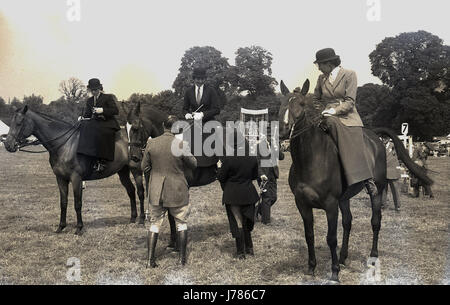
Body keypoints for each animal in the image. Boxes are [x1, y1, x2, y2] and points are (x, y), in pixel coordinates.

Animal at [3, 105, 148, 234]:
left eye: (19, 123)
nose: (8, 145)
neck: (64, 144)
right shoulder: (61, 179)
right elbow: (63, 202)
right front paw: (61, 227)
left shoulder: (76, 178)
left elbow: (78, 203)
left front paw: (79, 228)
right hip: (122, 172)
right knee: (131, 191)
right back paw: (132, 218)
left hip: (136, 170)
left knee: (140, 192)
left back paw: (141, 219)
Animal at [278, 79, 432, 282]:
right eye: (281, 103)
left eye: (302, 104)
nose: (283, 130)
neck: (311, 160)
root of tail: (374, 137)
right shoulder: (302, 204)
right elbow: (309, 235)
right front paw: (311, 267)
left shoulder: (330, 205)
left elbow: (331, 238)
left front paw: (334, 272)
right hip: (344, 198)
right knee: (348, 222)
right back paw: (343, 257)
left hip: (377, 191)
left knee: (375, 221)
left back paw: (372, 256)